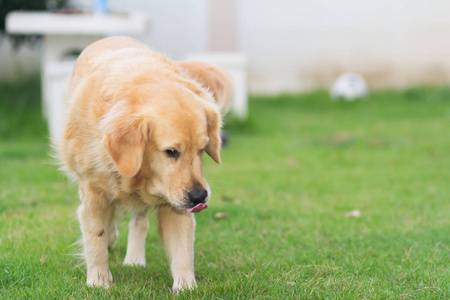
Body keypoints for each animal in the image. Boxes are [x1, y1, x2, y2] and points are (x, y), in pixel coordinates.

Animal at [59, 36, 232, 292]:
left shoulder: (175, 203)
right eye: (171, 152)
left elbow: (182, 249)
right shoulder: (93, 192)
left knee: (139, 221)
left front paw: (186, 286)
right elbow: (96, 236)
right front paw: (98, 280)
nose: (199, 196)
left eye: (202, 150)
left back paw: (134, 258)